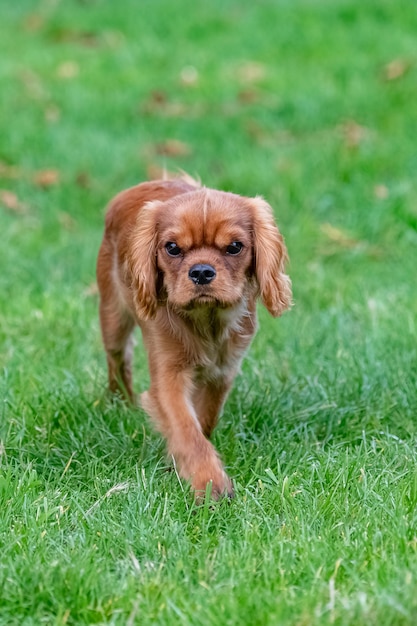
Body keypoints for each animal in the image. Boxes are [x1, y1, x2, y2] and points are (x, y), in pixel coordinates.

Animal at [96, 177, 292, 498]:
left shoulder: (222, 373)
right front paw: (210, 484)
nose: (201, 271)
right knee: (119, 357)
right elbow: (188, 431)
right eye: (172, 248)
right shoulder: (169, 378)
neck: (206, 319)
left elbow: (204, 420)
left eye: (235, 247)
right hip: (113, 317)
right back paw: (119, 401)